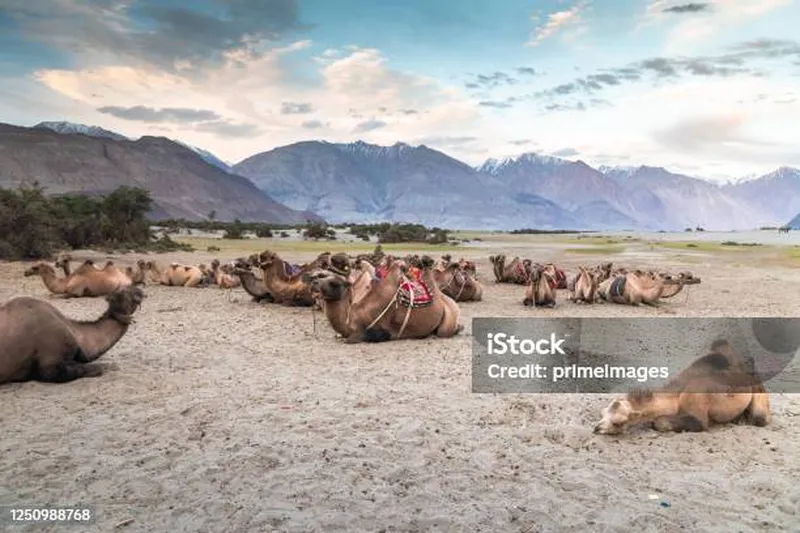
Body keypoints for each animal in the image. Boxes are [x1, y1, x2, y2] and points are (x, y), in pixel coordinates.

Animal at [592, 338, 768, 434]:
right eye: (602, 413)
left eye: (618, 423)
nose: (596, 428)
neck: (675, 398)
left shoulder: (697, 406)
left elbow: (660, 422)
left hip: (758, 389)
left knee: (760, 418)